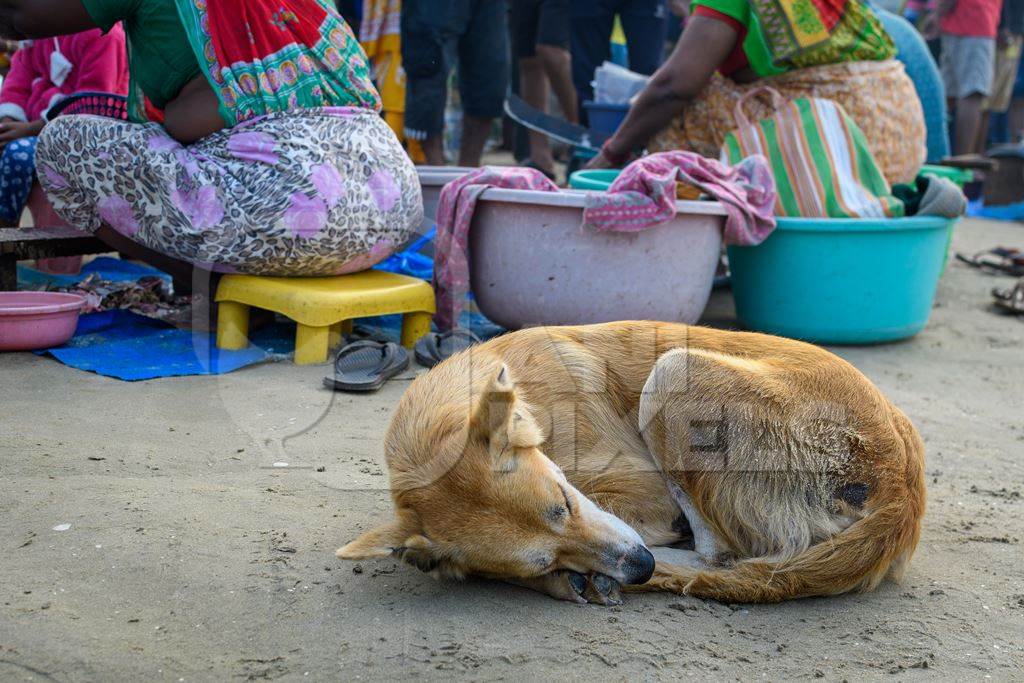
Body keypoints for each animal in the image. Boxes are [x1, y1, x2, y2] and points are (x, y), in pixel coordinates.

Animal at [337, 321, 929, 602]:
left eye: (565, 501)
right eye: (541, 560)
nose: (638, 567)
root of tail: (904, 484)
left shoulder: (644, 495)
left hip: (673, 373)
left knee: (720, 557)